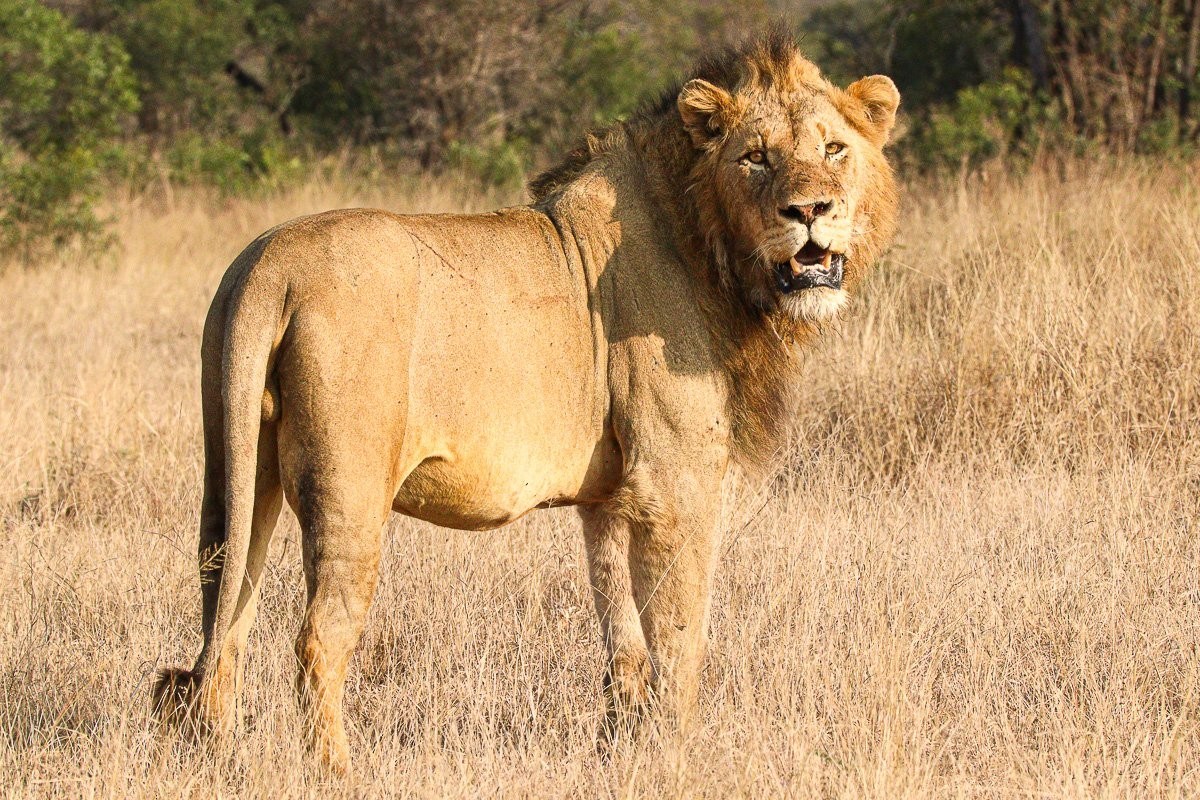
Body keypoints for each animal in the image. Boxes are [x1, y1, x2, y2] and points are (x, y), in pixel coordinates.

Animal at [152, 29, 900, 773]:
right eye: (755, 157)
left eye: (834, 149)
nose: (810, 212)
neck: (710, 247)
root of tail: (269, 266)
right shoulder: (674, 481)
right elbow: (680, 637)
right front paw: (676, 757)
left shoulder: (610, 497)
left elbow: (624, 641)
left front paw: (619, 750)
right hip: (349, 486)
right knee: (316, 639)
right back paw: (335, 772)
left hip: (237, 469)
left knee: (225, 615)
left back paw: (221, 760)